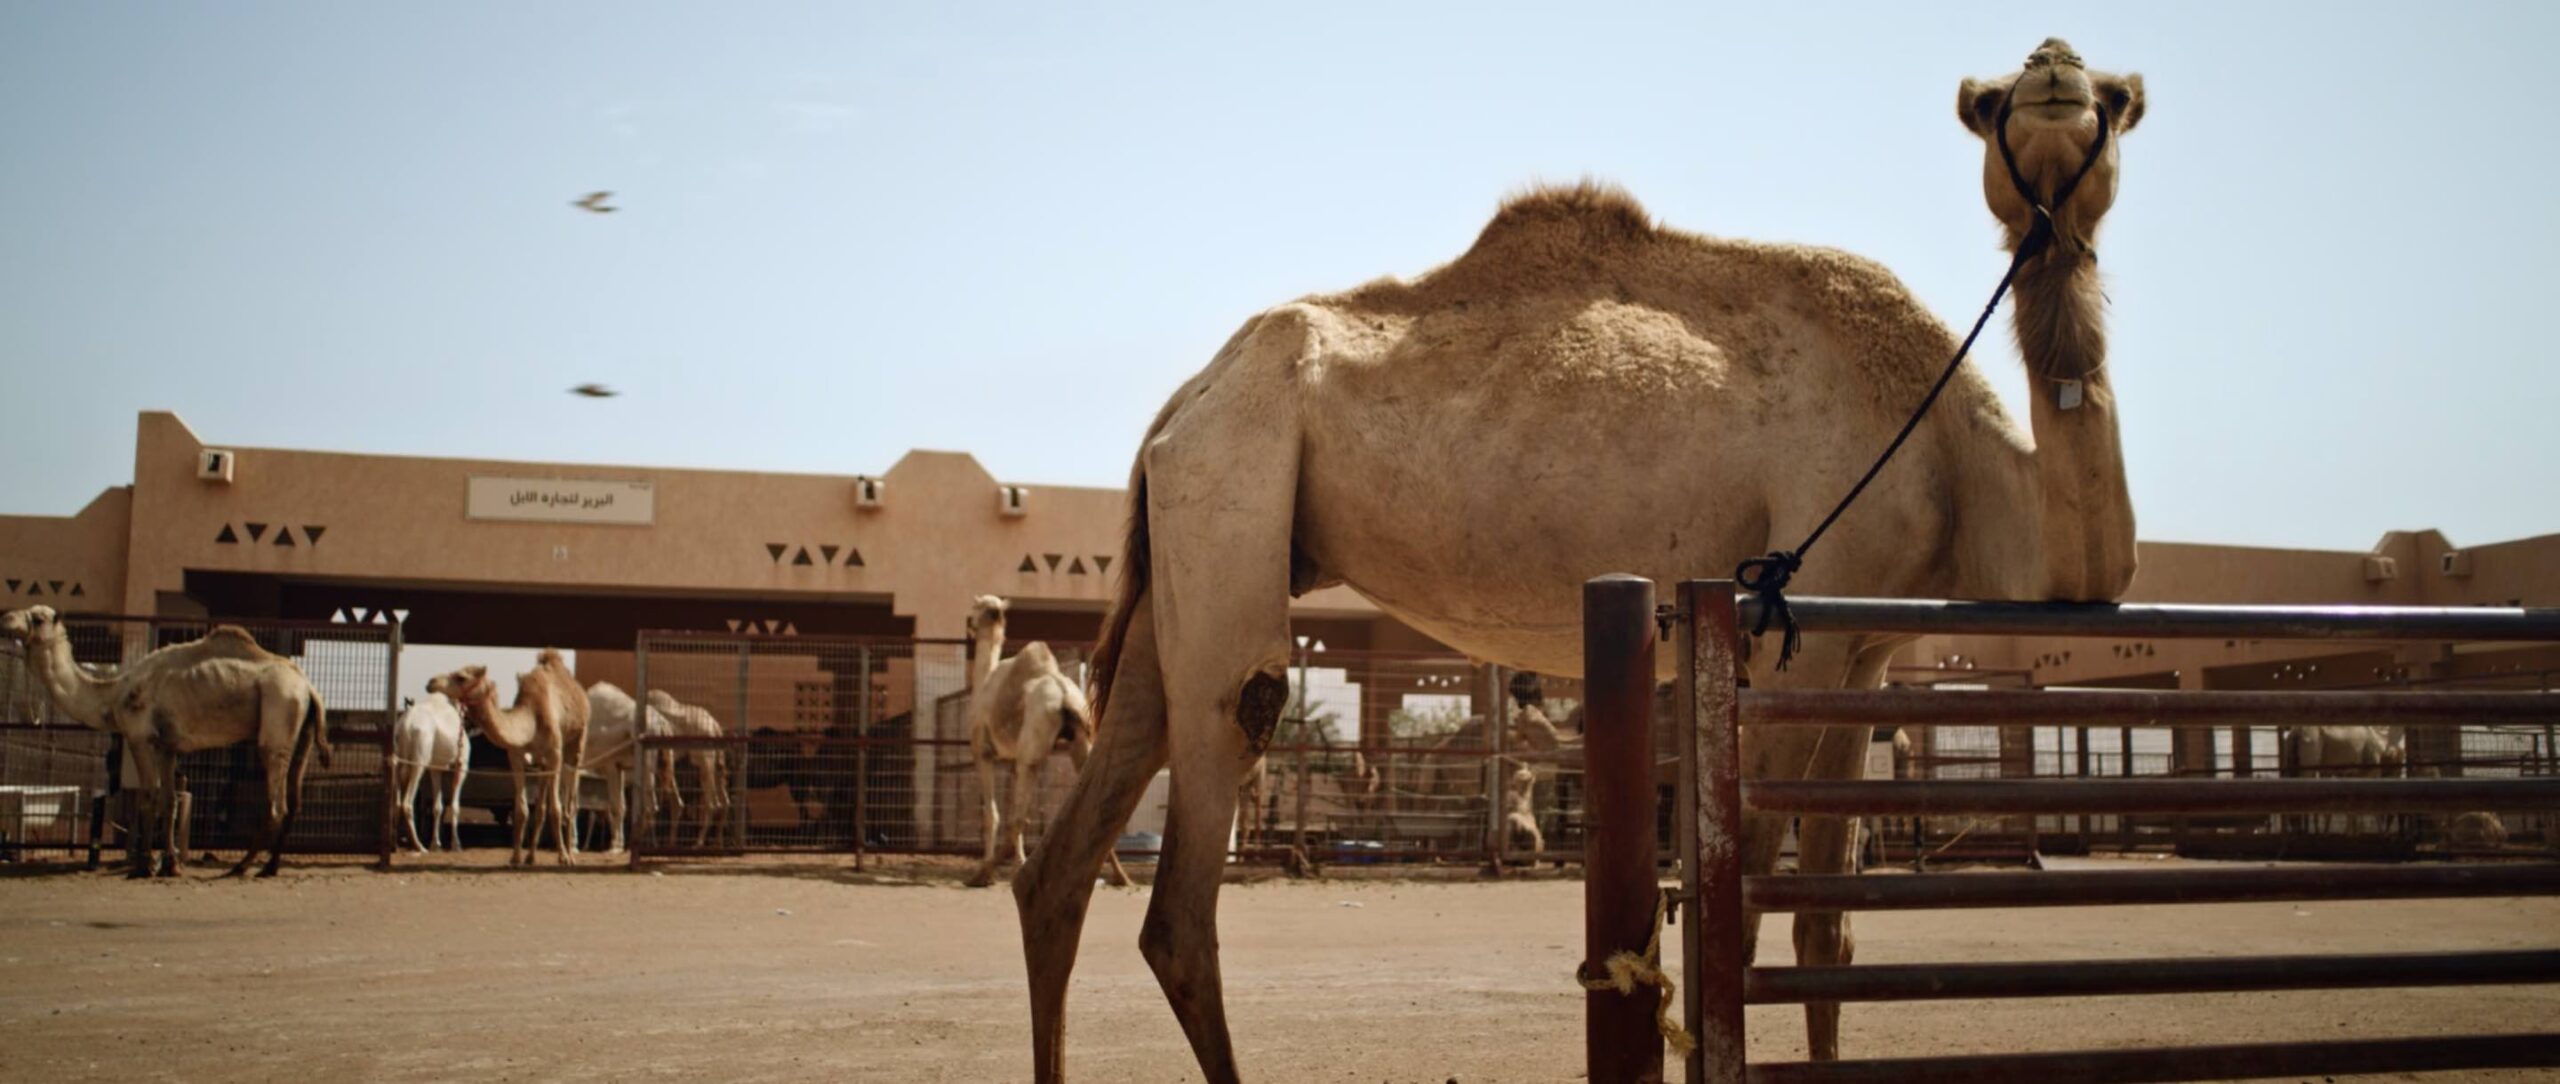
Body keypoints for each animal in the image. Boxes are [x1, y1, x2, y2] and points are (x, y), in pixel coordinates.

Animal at [389, 697, 471, 855]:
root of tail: (405, 727)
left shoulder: (436, 768)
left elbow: (437, 806)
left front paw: (435, 844)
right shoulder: (461, 765)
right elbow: (455, 806)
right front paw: (456, 845)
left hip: (397, 761)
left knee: (396, 802)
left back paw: (394, 845)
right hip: (419, 760)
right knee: (407, 803)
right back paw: (420, 846)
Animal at [445, 648, 599, 871]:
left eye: (462, 677)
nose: (434, 683)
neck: (531, 717)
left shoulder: (555, 754)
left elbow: (556, 809)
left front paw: (563, 857)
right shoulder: (516, 756)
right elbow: (521, 810)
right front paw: (516, 857)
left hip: (576, 746)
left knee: (569, 804)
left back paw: (571, 854)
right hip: (543, 762)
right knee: (541, 807)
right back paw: (531, 857)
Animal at [962, 594, 1131, 891]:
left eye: (976, 608)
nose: (969, 624)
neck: (985, 681)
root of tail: (1065, 699)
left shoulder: (983, 752)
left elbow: (992, 815)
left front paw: (989, 872)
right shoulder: (1011, 760)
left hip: (1033, 750)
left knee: (1019, 817)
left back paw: (993, 874)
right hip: (1080, 742)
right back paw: (1120, 877)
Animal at [1008, 38, 2150, 1081]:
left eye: (2113, 99)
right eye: (1994, 104)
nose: (2052, 67)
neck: (1960, 457)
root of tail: (1184, 397)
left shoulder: (1861, 646)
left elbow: (1829, 922)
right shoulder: (1800, 631)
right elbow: (1751, 902)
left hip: (1191, 543)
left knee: (1068, 854)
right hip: (1235, 482)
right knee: (1198, 845)